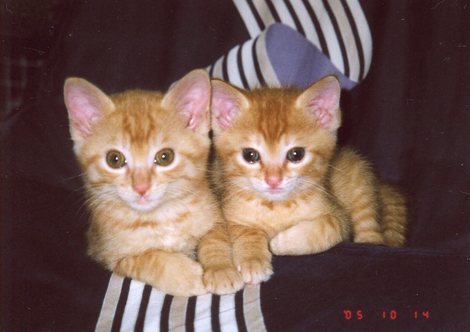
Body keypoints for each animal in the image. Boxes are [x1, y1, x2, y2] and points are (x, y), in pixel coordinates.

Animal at [64, 68, 242, 294]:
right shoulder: (104, 253)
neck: (160, 216)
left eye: (165, 157)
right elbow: (147, 259)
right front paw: (185, 276)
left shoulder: (214, 214)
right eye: (114, 159)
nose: (141, 187)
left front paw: (220, 269)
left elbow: (215, 238)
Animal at [211, 76, 406, 282]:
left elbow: (329, 227)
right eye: (250, 155)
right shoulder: (230, 214)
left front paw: (281, 242)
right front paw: (252, 258)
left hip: (360, 180)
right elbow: (245, 230)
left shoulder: (340, 217)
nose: (273, 180)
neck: (276, 208)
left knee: (370, 229)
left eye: (296, 154)